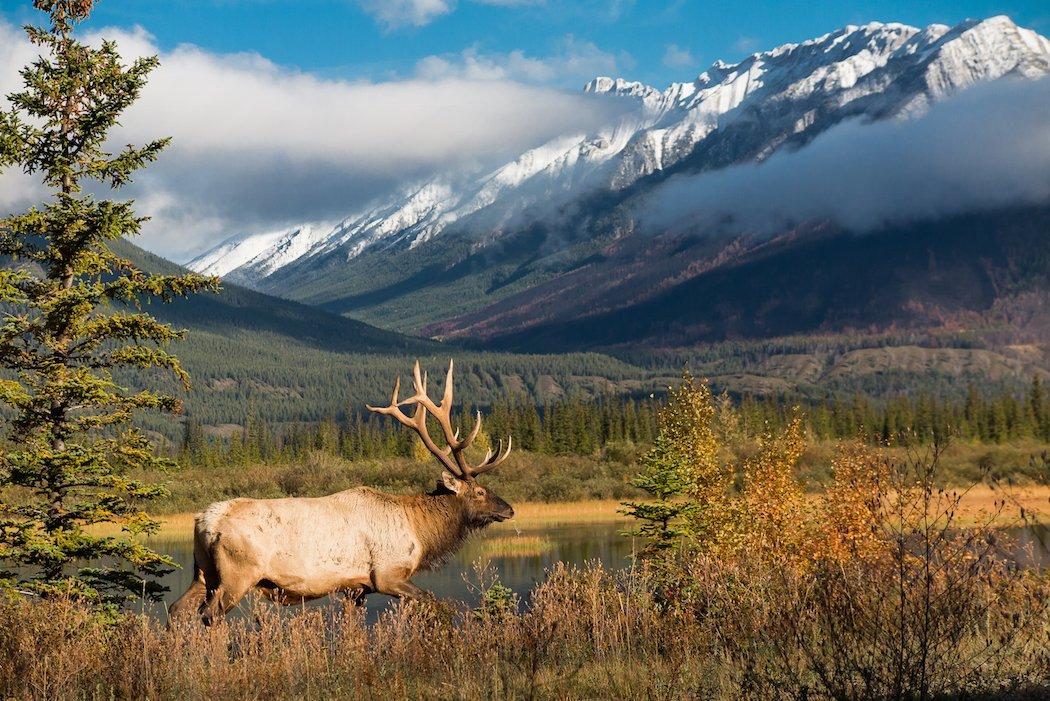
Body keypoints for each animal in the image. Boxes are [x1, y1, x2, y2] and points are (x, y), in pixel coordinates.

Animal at [170, 360, 514, 625]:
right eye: (480, 491)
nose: (509, 509)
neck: (421, 532)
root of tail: (206, 521)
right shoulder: (387, 575)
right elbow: (433, 602)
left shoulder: (355, 588)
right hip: (237, 574)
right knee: (209, 614)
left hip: (203, 571)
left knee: (177, 609)